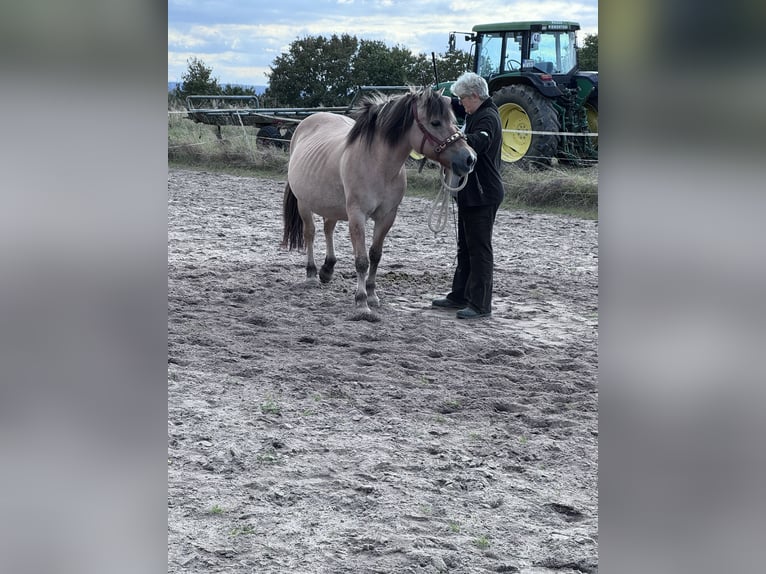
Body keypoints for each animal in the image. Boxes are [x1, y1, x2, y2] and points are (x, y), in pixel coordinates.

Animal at [282, 86, 474, 320]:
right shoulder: (357, 215)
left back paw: (327, 270)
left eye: (454, 120)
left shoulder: (387, 216)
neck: (377, 164)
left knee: (328, 229)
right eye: (435, 122)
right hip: (304, 203)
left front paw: (372, 295)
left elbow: (375, 255)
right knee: (310, 233)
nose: (469, 159)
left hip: (332, 206)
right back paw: (311, 274)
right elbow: (362, 260)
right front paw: (361, 303)